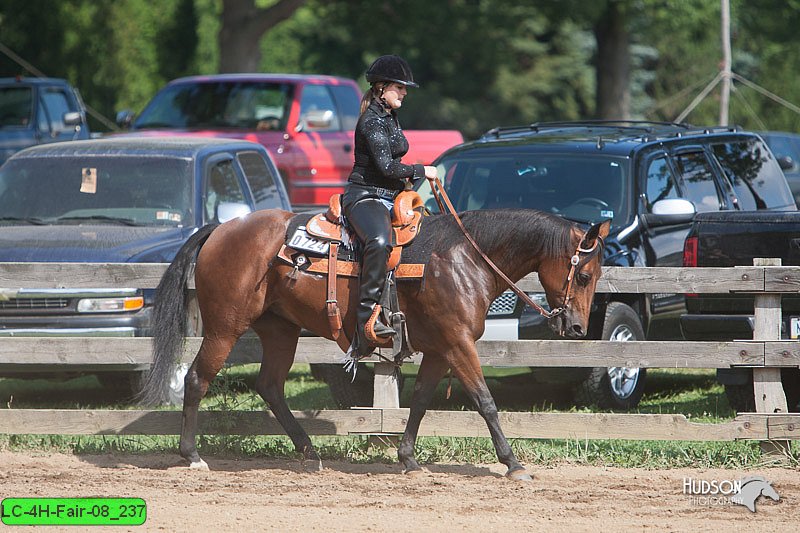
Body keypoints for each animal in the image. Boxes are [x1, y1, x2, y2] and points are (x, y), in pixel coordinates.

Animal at [141, 207, 608, 478]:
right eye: (585, 275)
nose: (578, 328)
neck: (463, 259)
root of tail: (222, 228)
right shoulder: (458, 344)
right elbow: (484, 400)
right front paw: (512, 464)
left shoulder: (439, 349)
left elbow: (420, 401)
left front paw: (408, 459)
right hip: (225, 327)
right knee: (197, 380)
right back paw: (191, 456)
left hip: (280, 330)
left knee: (271, 387)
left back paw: (309, 453)